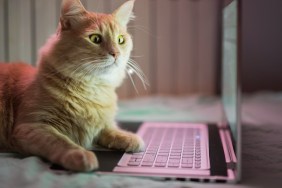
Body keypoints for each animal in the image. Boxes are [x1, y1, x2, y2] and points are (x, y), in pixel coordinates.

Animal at [0, 0, 145, 171]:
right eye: (95, 39)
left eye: (121, 40)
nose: (116, 53)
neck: (91, 88)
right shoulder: (31, 126)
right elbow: (60, 142)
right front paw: (81, 155)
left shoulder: (100, 125)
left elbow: (110, 129)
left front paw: (130, 138)